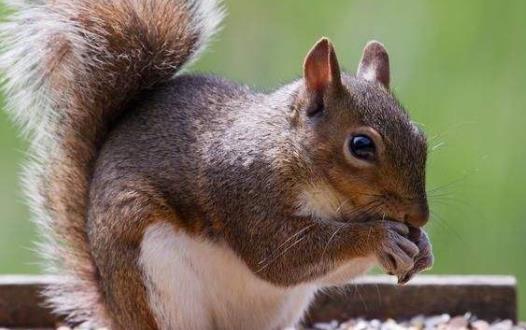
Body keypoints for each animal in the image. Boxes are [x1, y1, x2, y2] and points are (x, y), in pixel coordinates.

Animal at [0, 0, 434, 330]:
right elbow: (282, 258)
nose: (420, 217)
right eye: (361, 145)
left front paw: (422, 246)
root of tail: (118, 311)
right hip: (157, 281)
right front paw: (380, 238)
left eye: (420, 136)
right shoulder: (245, 189)